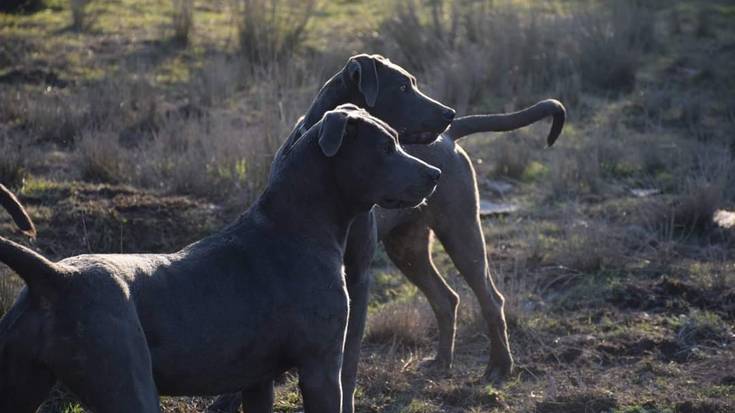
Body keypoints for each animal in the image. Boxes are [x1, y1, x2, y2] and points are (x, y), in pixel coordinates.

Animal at [0, 104, 442, 412]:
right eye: (386, 147)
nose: (435, 174)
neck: (298, 227)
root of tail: (51, 275)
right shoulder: (321, 368)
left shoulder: (258, 382)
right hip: (126, 384)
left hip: (21, 383)